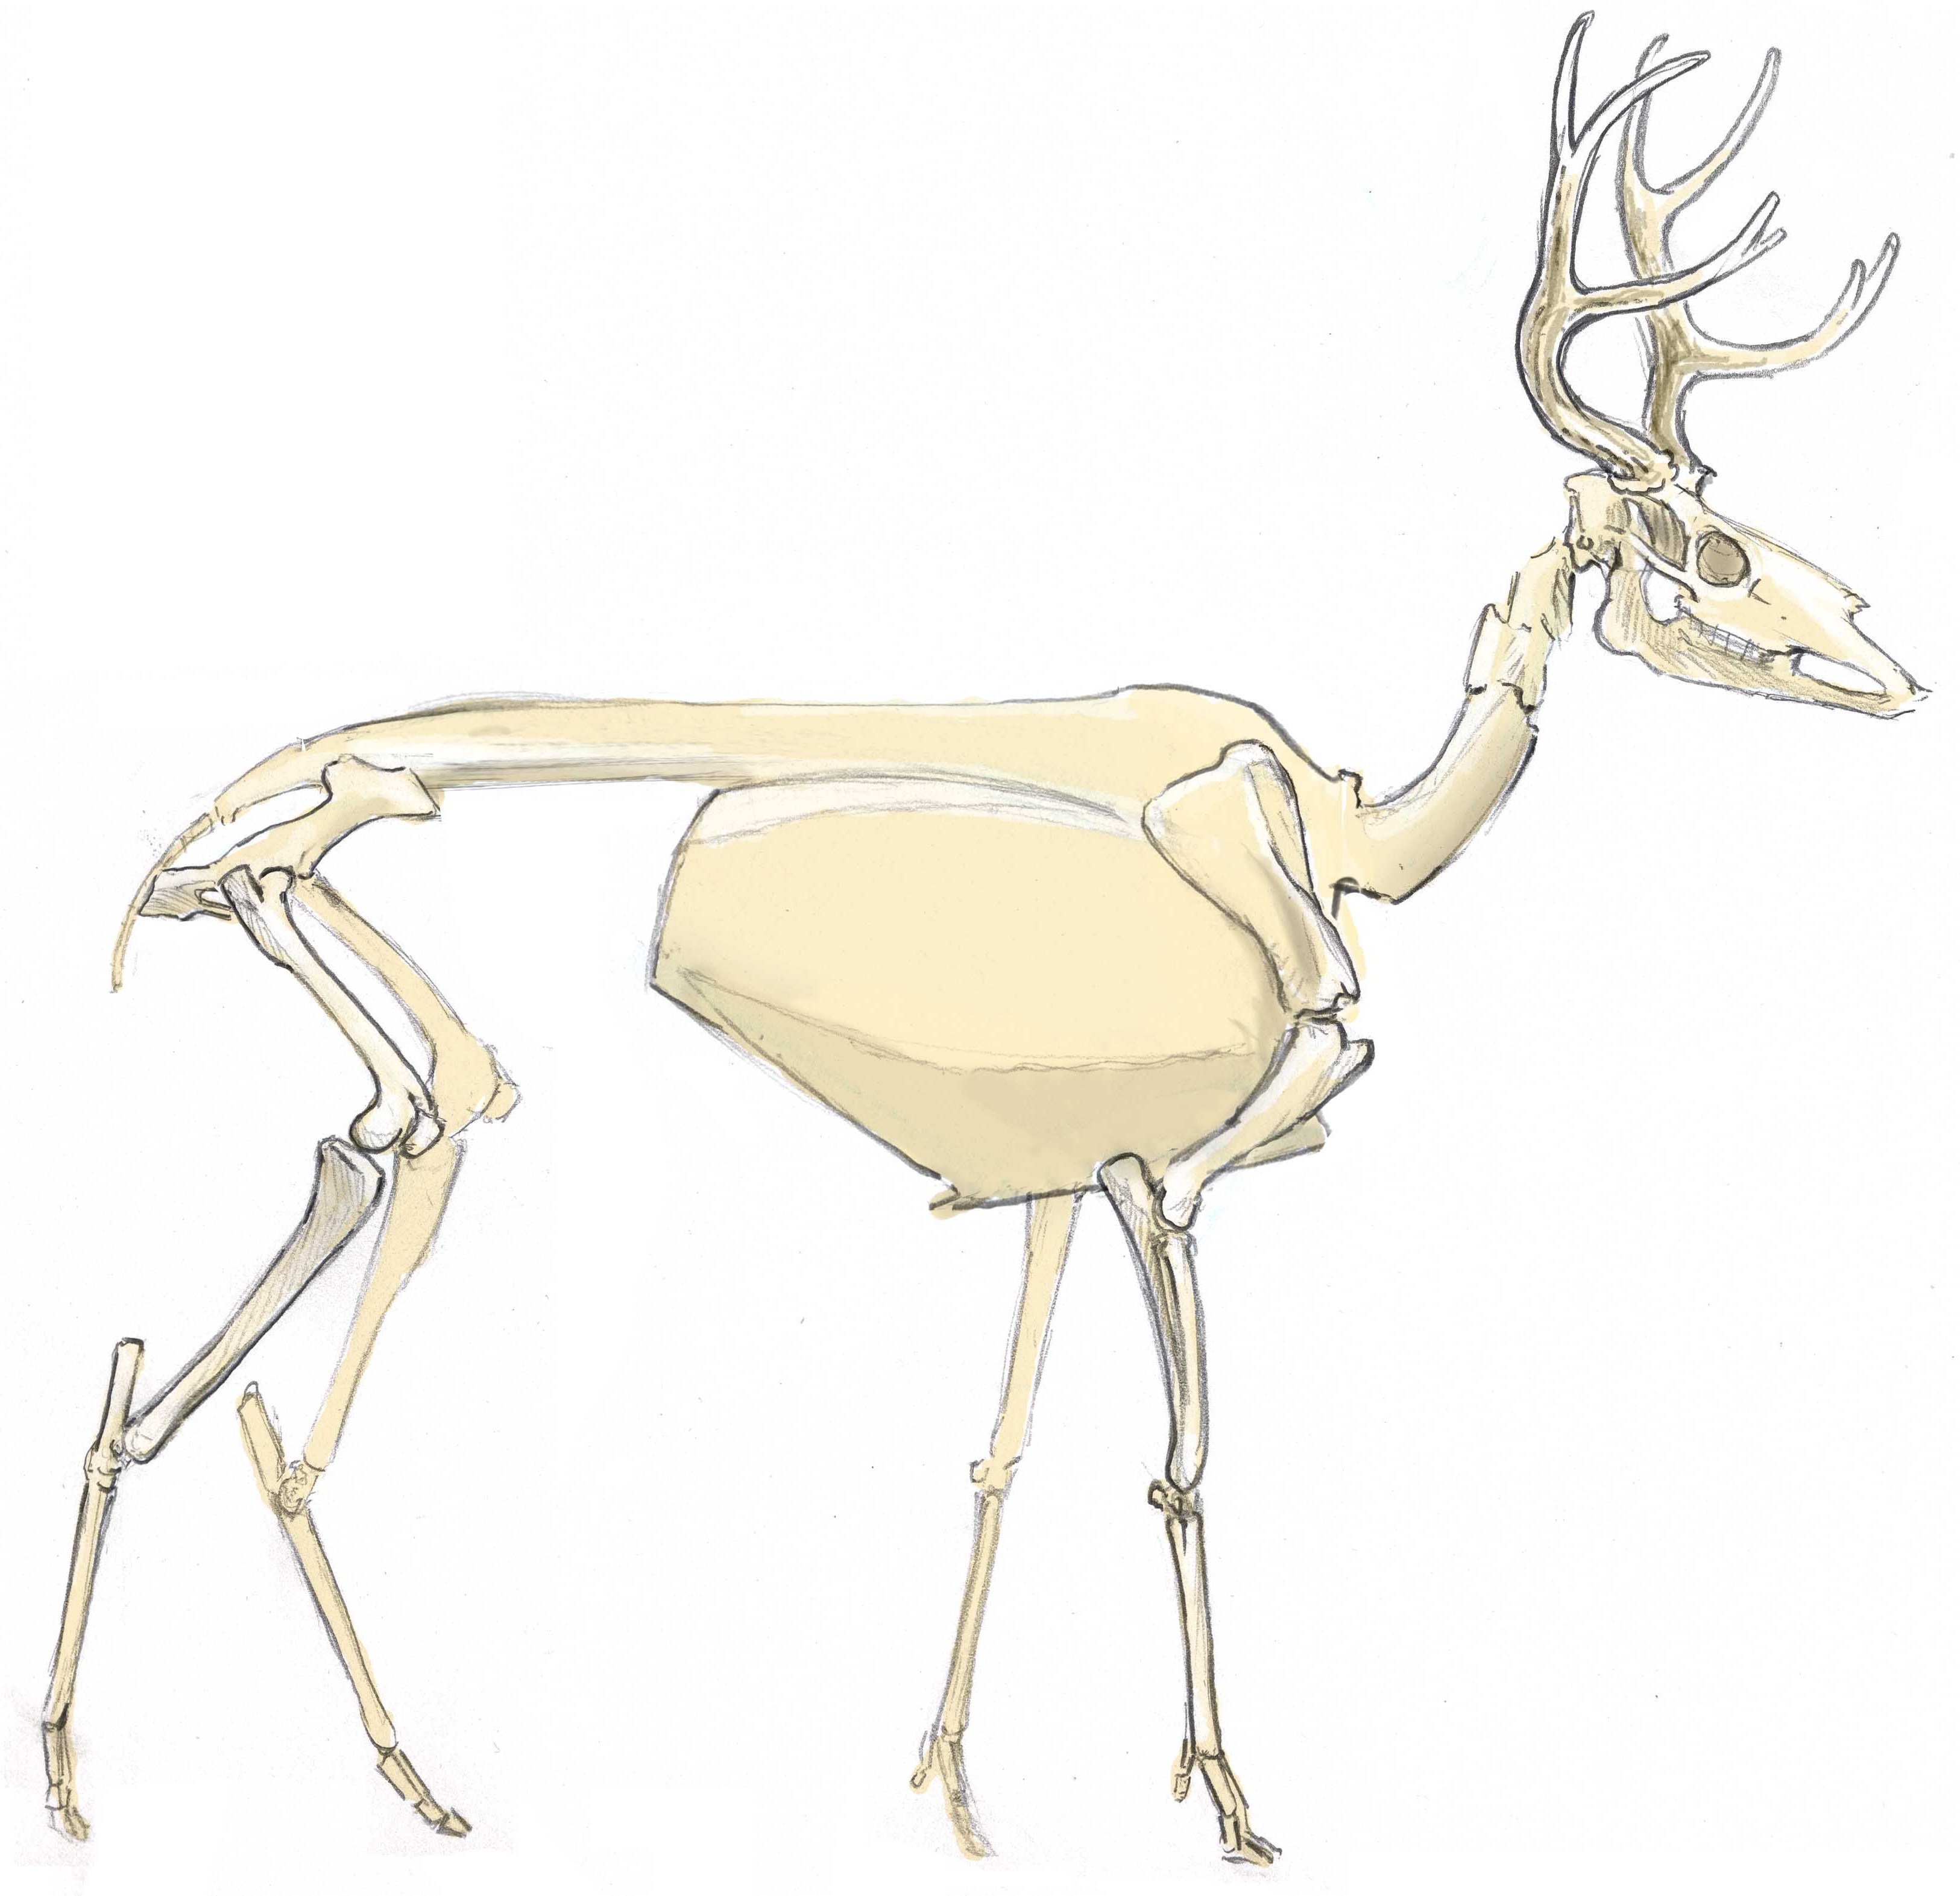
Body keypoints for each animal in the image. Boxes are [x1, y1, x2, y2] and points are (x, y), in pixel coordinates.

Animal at [41, 15, 1920, 1867]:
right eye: (1710, 549)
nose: (1894, 673)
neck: (1352, 839)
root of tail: (233, 823)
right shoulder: (1172, 1158)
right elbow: (1186, 1430)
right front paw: (1229, 1797)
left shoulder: (1049, 1165)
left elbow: (1002, 1443)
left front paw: (953, 1785)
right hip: (435, 1003)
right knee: (365, 1257)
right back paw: (399, 1773)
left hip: (373, 993)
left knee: (336, 1173)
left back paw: (97, 1763)